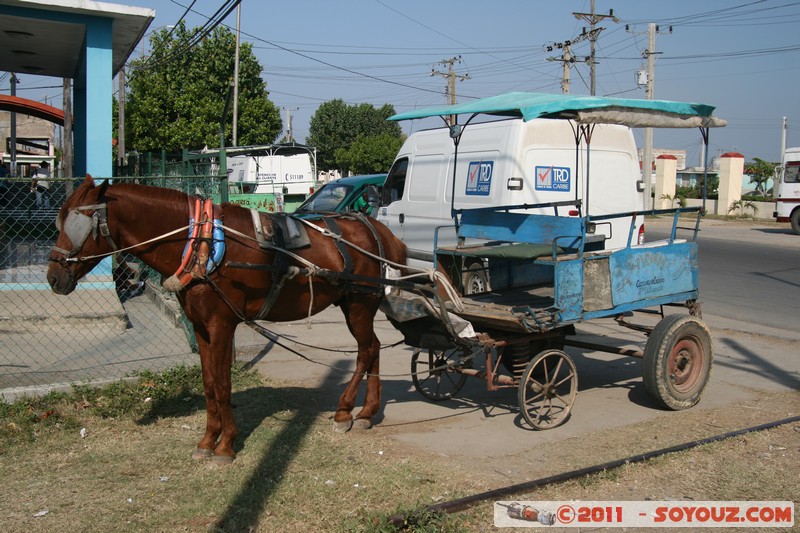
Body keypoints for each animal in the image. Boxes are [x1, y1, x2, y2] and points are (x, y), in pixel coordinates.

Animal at [47, 177, 406, 464]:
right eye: (59, 223)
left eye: (77, 226)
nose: (53, 277)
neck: (200, 242)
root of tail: (377, 229)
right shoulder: (200, 327)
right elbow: (208, 384)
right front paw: (207, 441)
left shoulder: (222, 325)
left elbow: (222, 385)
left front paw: (225, 446)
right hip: (354, 304)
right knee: (373, 347)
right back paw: (366, 412)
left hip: (360, 304)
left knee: (365, 350)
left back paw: (345, 410)